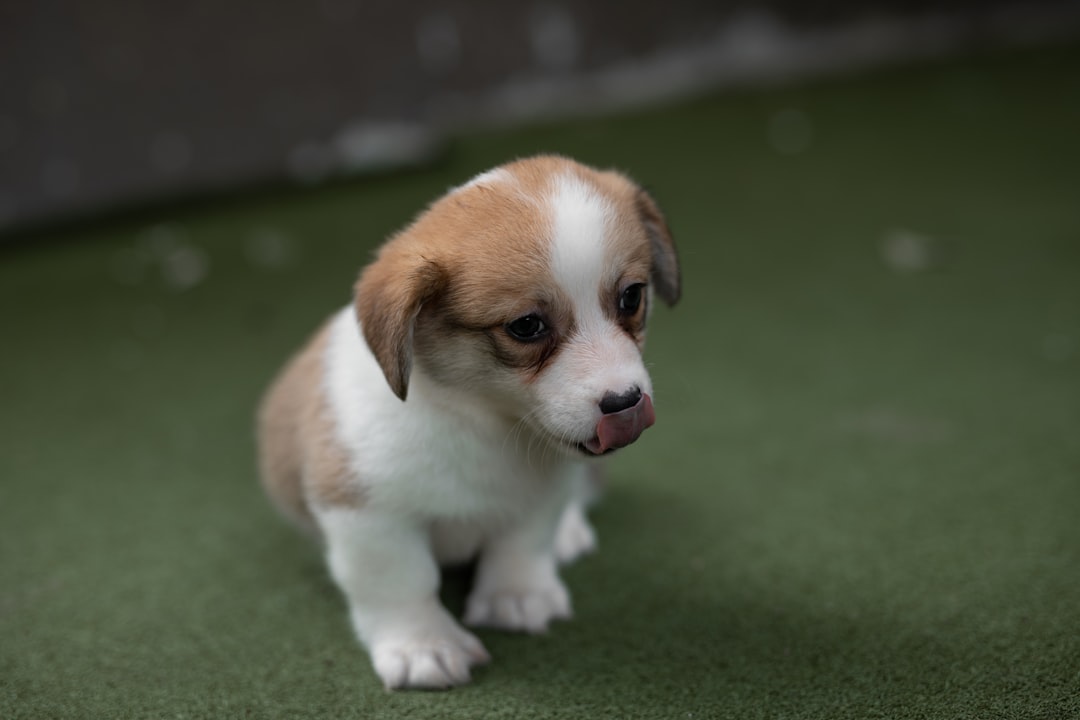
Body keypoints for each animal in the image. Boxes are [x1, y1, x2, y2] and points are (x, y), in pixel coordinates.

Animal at [257, 155, 678, 690]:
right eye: (526, 326)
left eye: (631, 298)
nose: (625, 403)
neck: (482, 420)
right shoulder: (366, 515)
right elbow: (402, 582)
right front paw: (424, 645)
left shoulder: (538, 497)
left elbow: (520, 546)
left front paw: (516, 597)